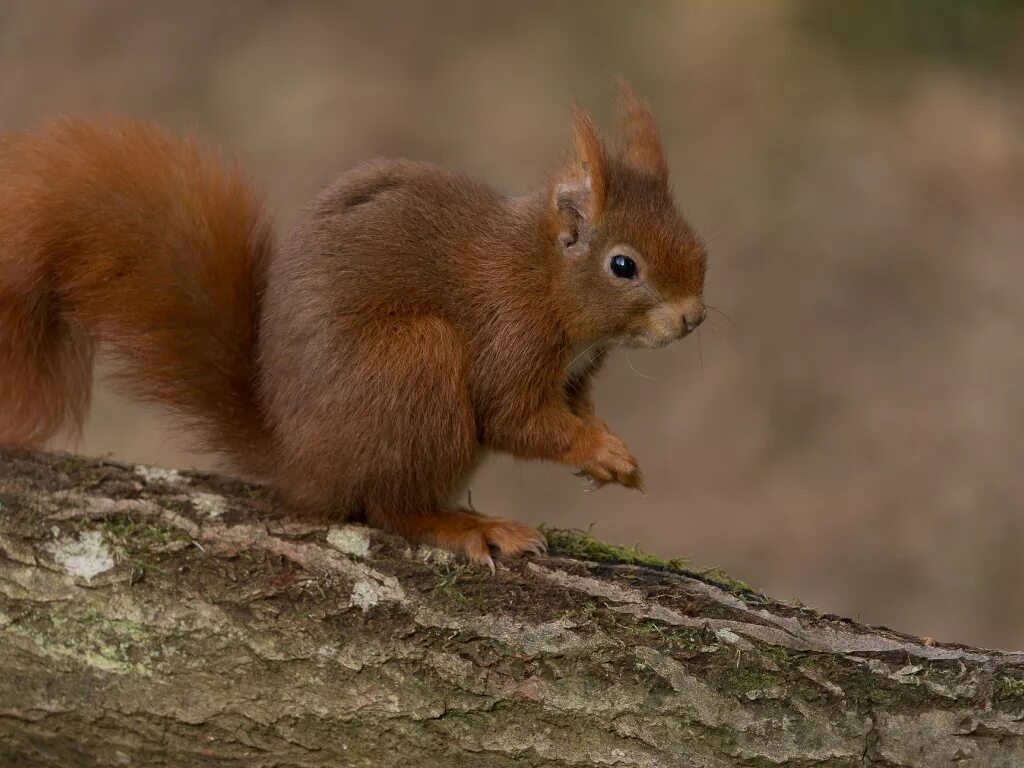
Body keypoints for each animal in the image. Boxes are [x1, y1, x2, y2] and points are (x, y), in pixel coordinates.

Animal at [0, 82, 704, 565]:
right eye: (623, 265)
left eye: (696, 241)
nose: (694, 318)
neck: (543, 275)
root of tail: (300, 464)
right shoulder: (512, 332)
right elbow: (516, 418)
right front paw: (597, 451)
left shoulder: (575, 374)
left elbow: (576, 409)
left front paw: (615, 454)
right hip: (414, 367)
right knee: (391, 508)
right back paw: (469, 527)